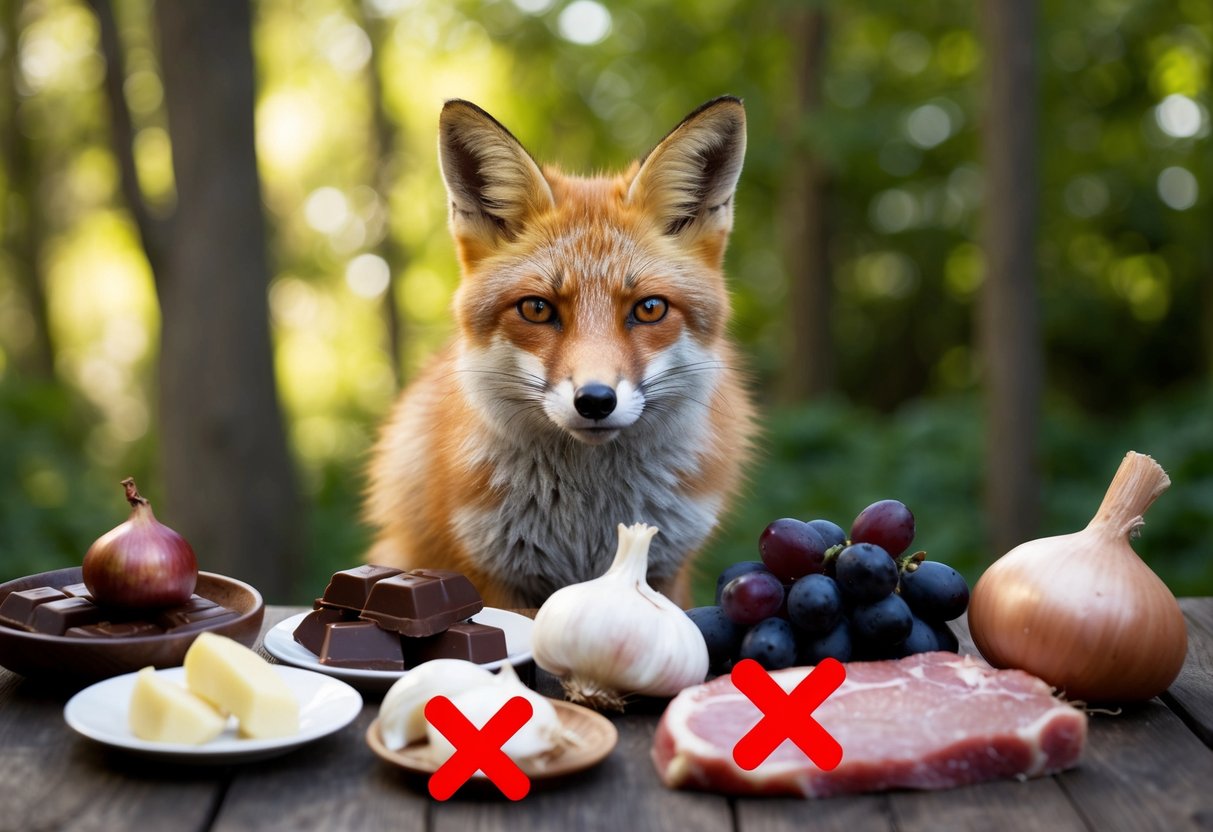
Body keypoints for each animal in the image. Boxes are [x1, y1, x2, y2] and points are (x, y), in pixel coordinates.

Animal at [363, 97, 756, 610]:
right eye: (537, 309)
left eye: (649, 309)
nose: (595, 401)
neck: (588, 519)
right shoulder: (493, 578)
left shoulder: (666, 569)